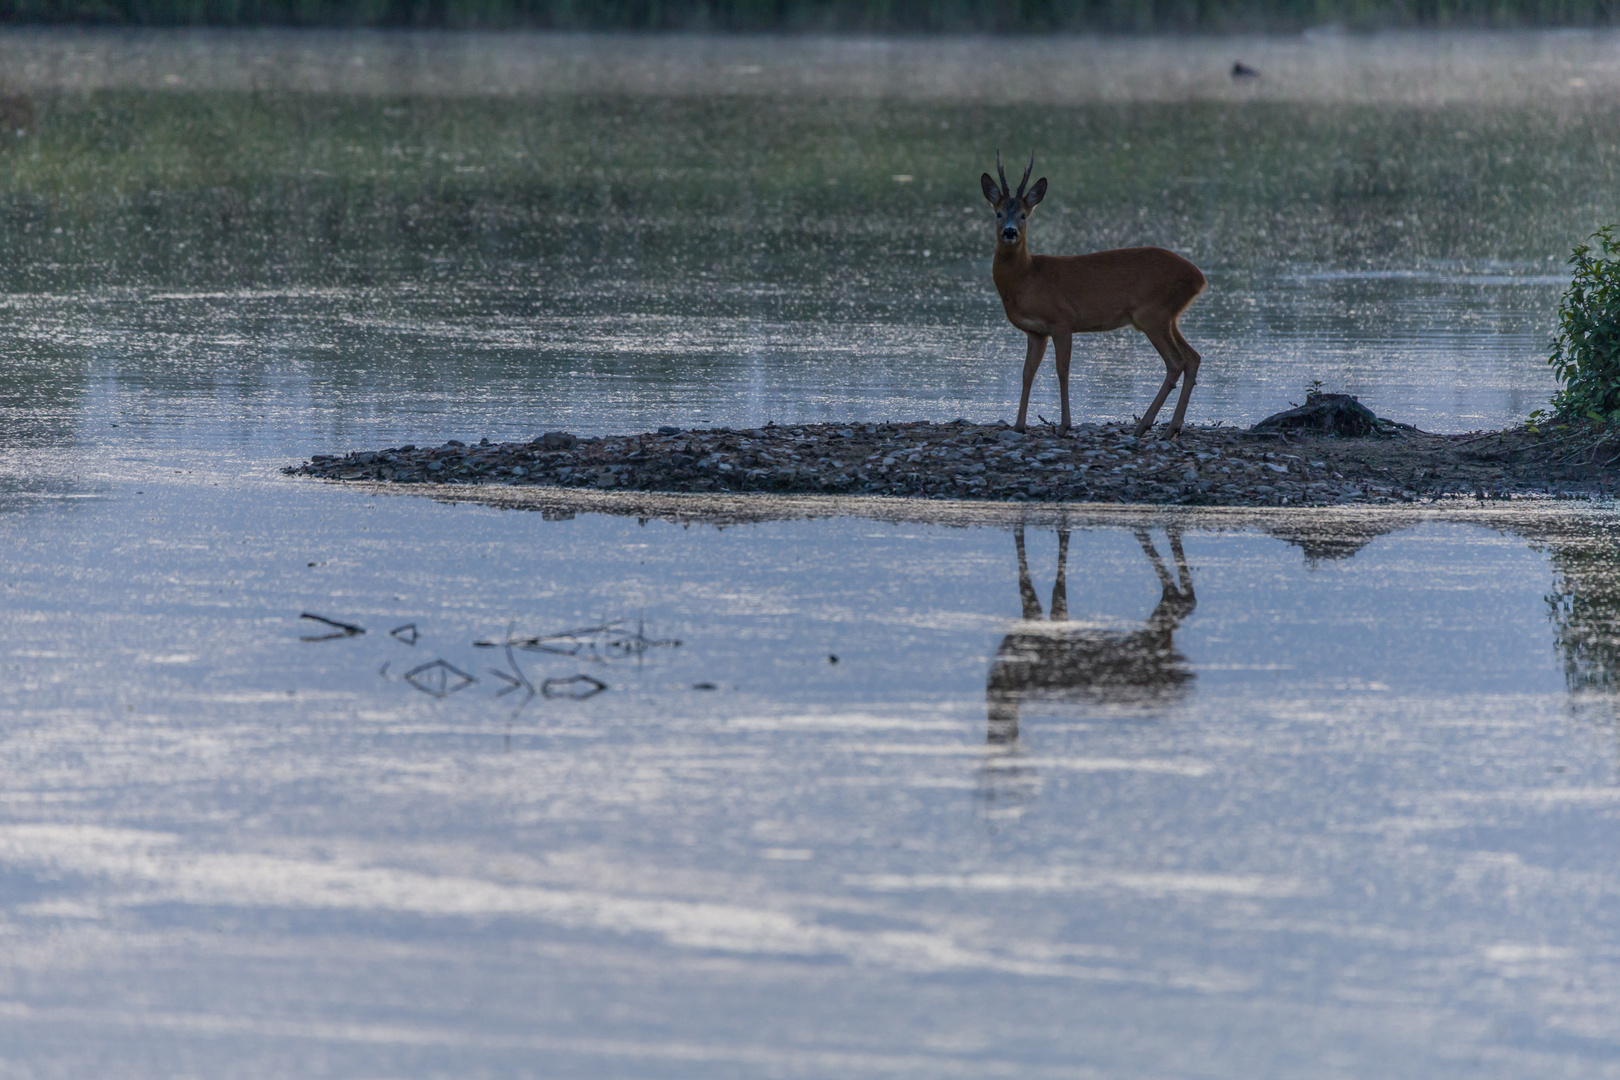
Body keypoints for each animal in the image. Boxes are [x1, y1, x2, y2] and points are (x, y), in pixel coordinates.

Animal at [978, 152, 1211, 440]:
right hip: (1168, 317)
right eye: (998, 213)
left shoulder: (1062, 320)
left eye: (1023, 215)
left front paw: (1065, 425)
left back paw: (1149, 426)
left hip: (1152, 314)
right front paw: (1019, 425)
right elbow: (1027, 373)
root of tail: (1199, 278)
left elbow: (1062, 371)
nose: (1010, 232)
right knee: (1192, 357)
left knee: (1176, 362)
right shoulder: (1036, 332)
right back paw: (1169, 427)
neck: (1028, 276)